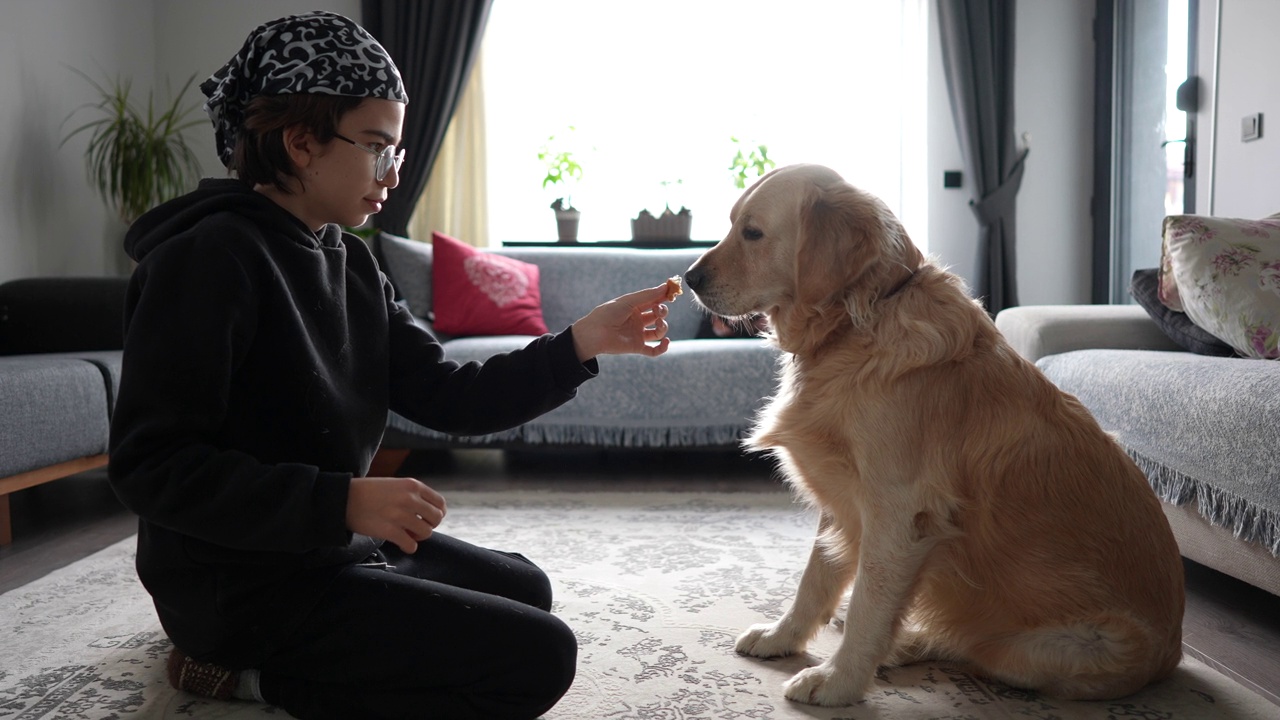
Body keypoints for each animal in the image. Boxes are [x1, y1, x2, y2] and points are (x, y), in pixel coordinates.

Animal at [686, 163, 1182, 707]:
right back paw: (905, 641)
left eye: (752, 232)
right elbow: (814, 580)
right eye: (731, 224)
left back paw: (902, 644)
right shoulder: (842, 498)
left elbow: (867, 605)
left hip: (1044, 649)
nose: (688, 278)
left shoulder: (901, 512)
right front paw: (782, 637)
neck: (856, 326)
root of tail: (1175, 654)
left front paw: (838, 681)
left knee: (972, 646)